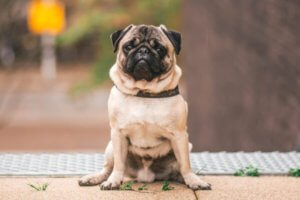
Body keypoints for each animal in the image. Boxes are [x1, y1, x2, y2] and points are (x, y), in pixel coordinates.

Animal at [78, 24, 212, 190]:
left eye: (160, 49)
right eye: (128, 47)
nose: (143, 50)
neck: (144, 92)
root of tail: (146, 176)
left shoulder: (179, 135)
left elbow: (185, 165)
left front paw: (193, 180)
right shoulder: (118, 134)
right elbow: (118, 164)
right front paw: (114, 181)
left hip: (187, 145)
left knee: (179, 169)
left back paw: (185, 178)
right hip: (110, 147)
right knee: (108, 168)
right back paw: (95, 178)